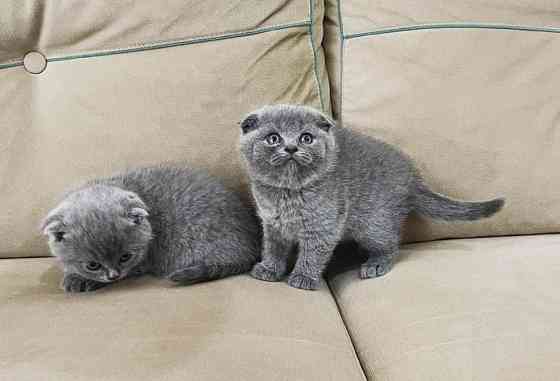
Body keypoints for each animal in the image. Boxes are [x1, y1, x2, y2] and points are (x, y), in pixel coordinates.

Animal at [41, 165, 260, 292]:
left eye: (125, 257)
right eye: (92, 265)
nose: (114, 276)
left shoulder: (142, 262)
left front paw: (79, 280)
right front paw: (74, 275)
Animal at [238, 105, 506, 290]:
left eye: (306, 137)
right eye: (273, 138)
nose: (291, 148)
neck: (287, 192)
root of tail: (413, 179)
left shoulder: (324, 226)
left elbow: (313, 253)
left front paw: (303, 277)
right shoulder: (273, 224)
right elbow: (273, 248)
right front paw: (269, 269)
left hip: (373, 224)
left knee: (391, 244)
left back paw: (375, 264)